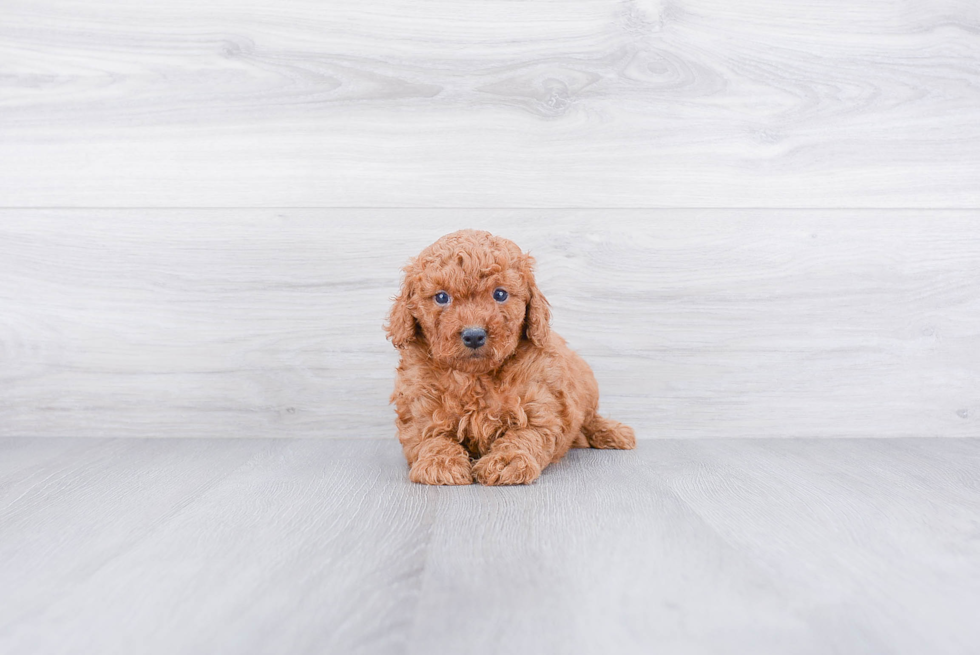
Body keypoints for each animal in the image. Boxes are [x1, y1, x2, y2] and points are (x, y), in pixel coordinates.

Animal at [382, 232, 636, 486]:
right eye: (442, 297)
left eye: (500, 294)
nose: (474, 335)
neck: (476, 377)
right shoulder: (419, 409)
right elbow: (431, 437)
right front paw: (441, 463)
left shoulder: (539, 406)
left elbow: (525, 435)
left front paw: (507, 461)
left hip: (588, 386)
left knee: (590, 419)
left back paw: (615, 433)